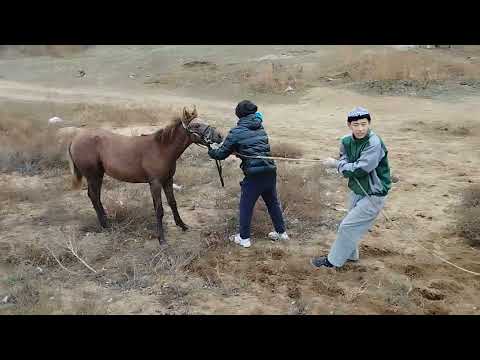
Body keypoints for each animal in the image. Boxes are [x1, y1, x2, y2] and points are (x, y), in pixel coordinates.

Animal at [66, 105, 224, 243]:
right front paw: (161, 239)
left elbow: (172, 203)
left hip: (98, 175)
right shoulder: (155, 183)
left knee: (95, 197)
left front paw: (182, 225)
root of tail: (75, 139)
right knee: (93, 196)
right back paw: (106, 225)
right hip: (93, 175)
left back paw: (106, 221)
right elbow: (159, 209)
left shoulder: (167, 180)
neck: (161, 149)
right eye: (196, 125)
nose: (220, 136)